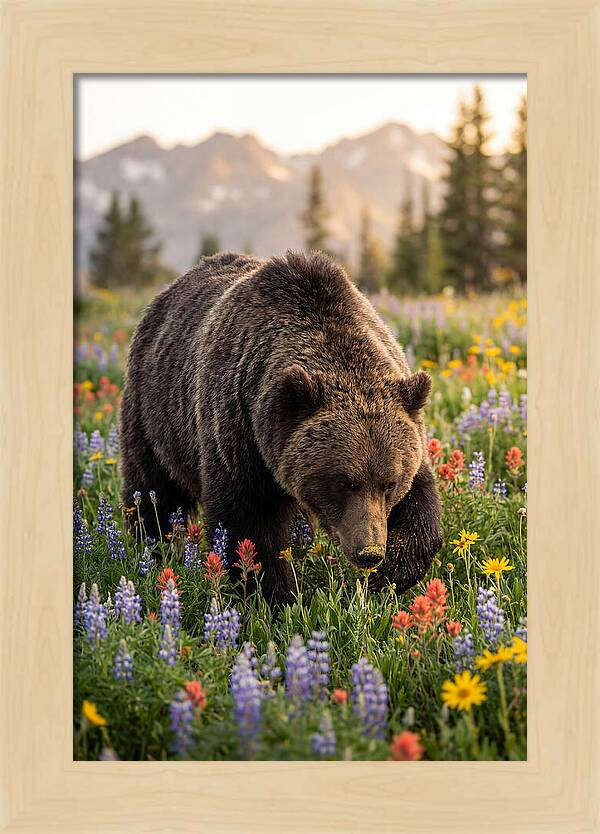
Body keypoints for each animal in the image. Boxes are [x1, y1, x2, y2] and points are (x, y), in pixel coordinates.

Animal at [120, 250, 442, 605]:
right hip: (154, 414)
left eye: (389, 483)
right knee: (153, 490)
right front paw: (273, 599)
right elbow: (249, 525)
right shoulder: (238, 430)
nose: (369, 552)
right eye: (344, 482)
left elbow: (421, 505)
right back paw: (151, 549)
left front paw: (391, 574)